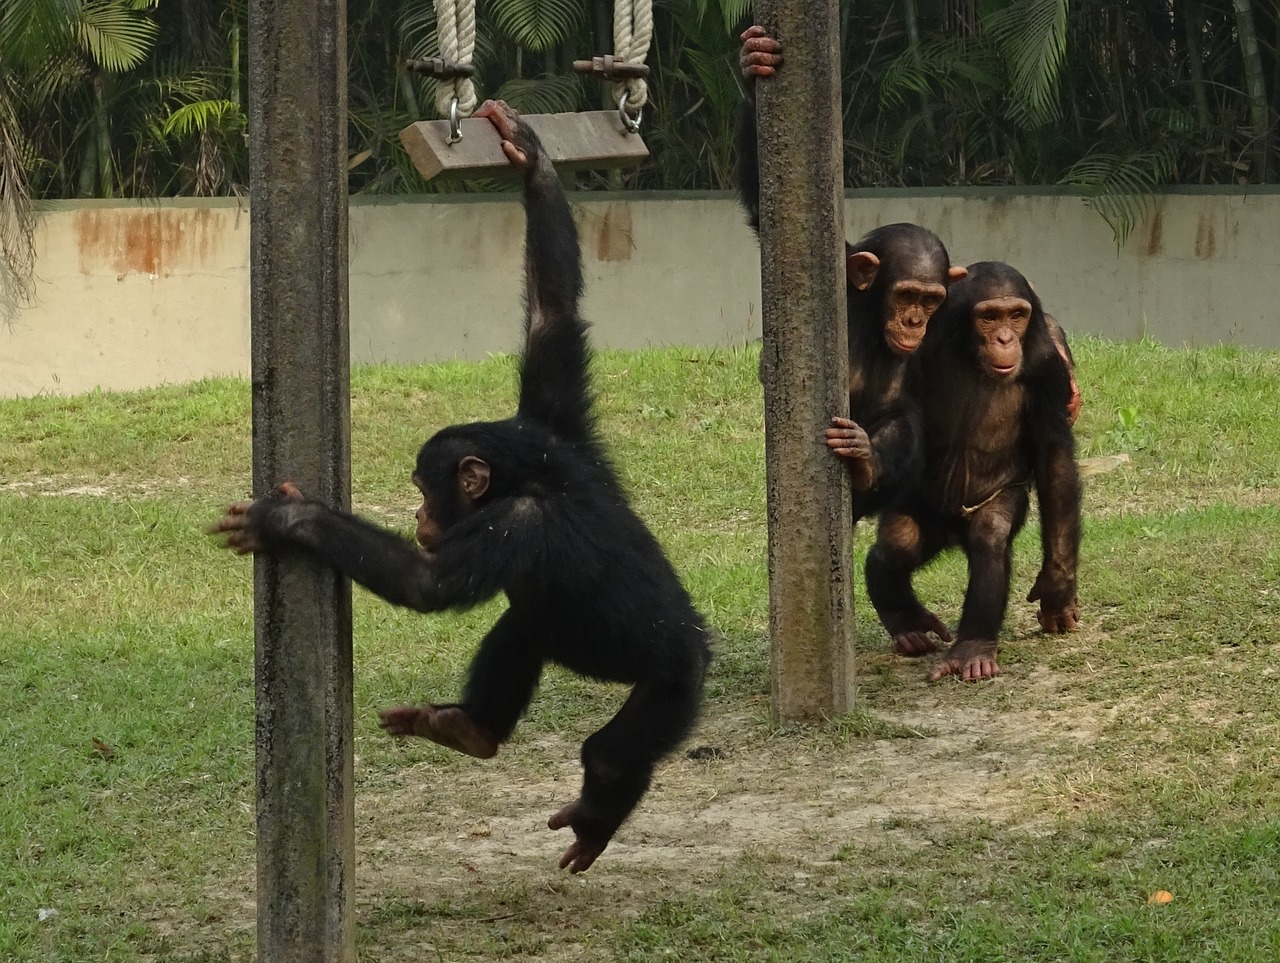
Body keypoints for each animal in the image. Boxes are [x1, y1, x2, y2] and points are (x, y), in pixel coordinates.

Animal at [209, 99, 711, 870]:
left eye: (424, 486)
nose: (419, 512)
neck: (521, 473)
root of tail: (702, 647)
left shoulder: (516, 523)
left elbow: (427, 583)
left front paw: (286, 521)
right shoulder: (554, 423)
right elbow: (552, 311)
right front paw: (530, 159)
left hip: (672, 686)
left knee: (609, 751)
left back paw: (595, 816)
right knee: (521, 625)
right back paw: (469, 729)